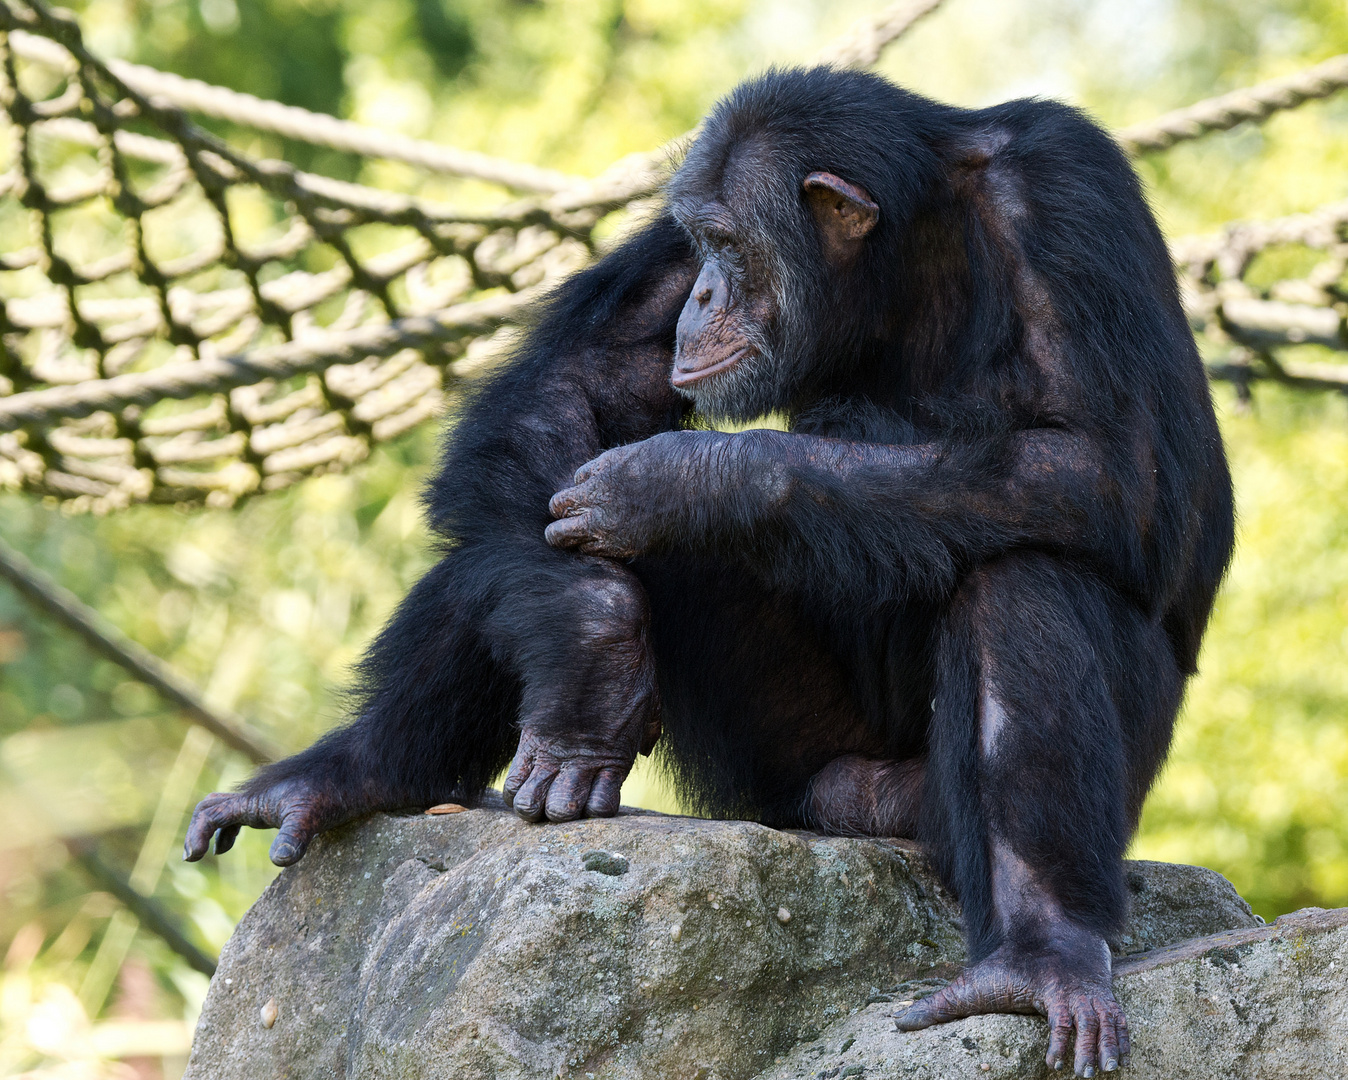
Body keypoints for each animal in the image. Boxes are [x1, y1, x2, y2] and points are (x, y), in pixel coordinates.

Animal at [187, 69, 1234, 1078]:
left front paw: (682, 485)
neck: (907, 259)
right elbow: (578, 384)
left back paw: (1039, 949)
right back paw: (352, 775)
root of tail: (856, 805)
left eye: (733, 245)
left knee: (1026, 571)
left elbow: (1112, 467)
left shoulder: (1067, 191)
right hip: (783, 768)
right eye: (698, 244)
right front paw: (594, 648)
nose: (701, 295)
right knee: (510, 535)